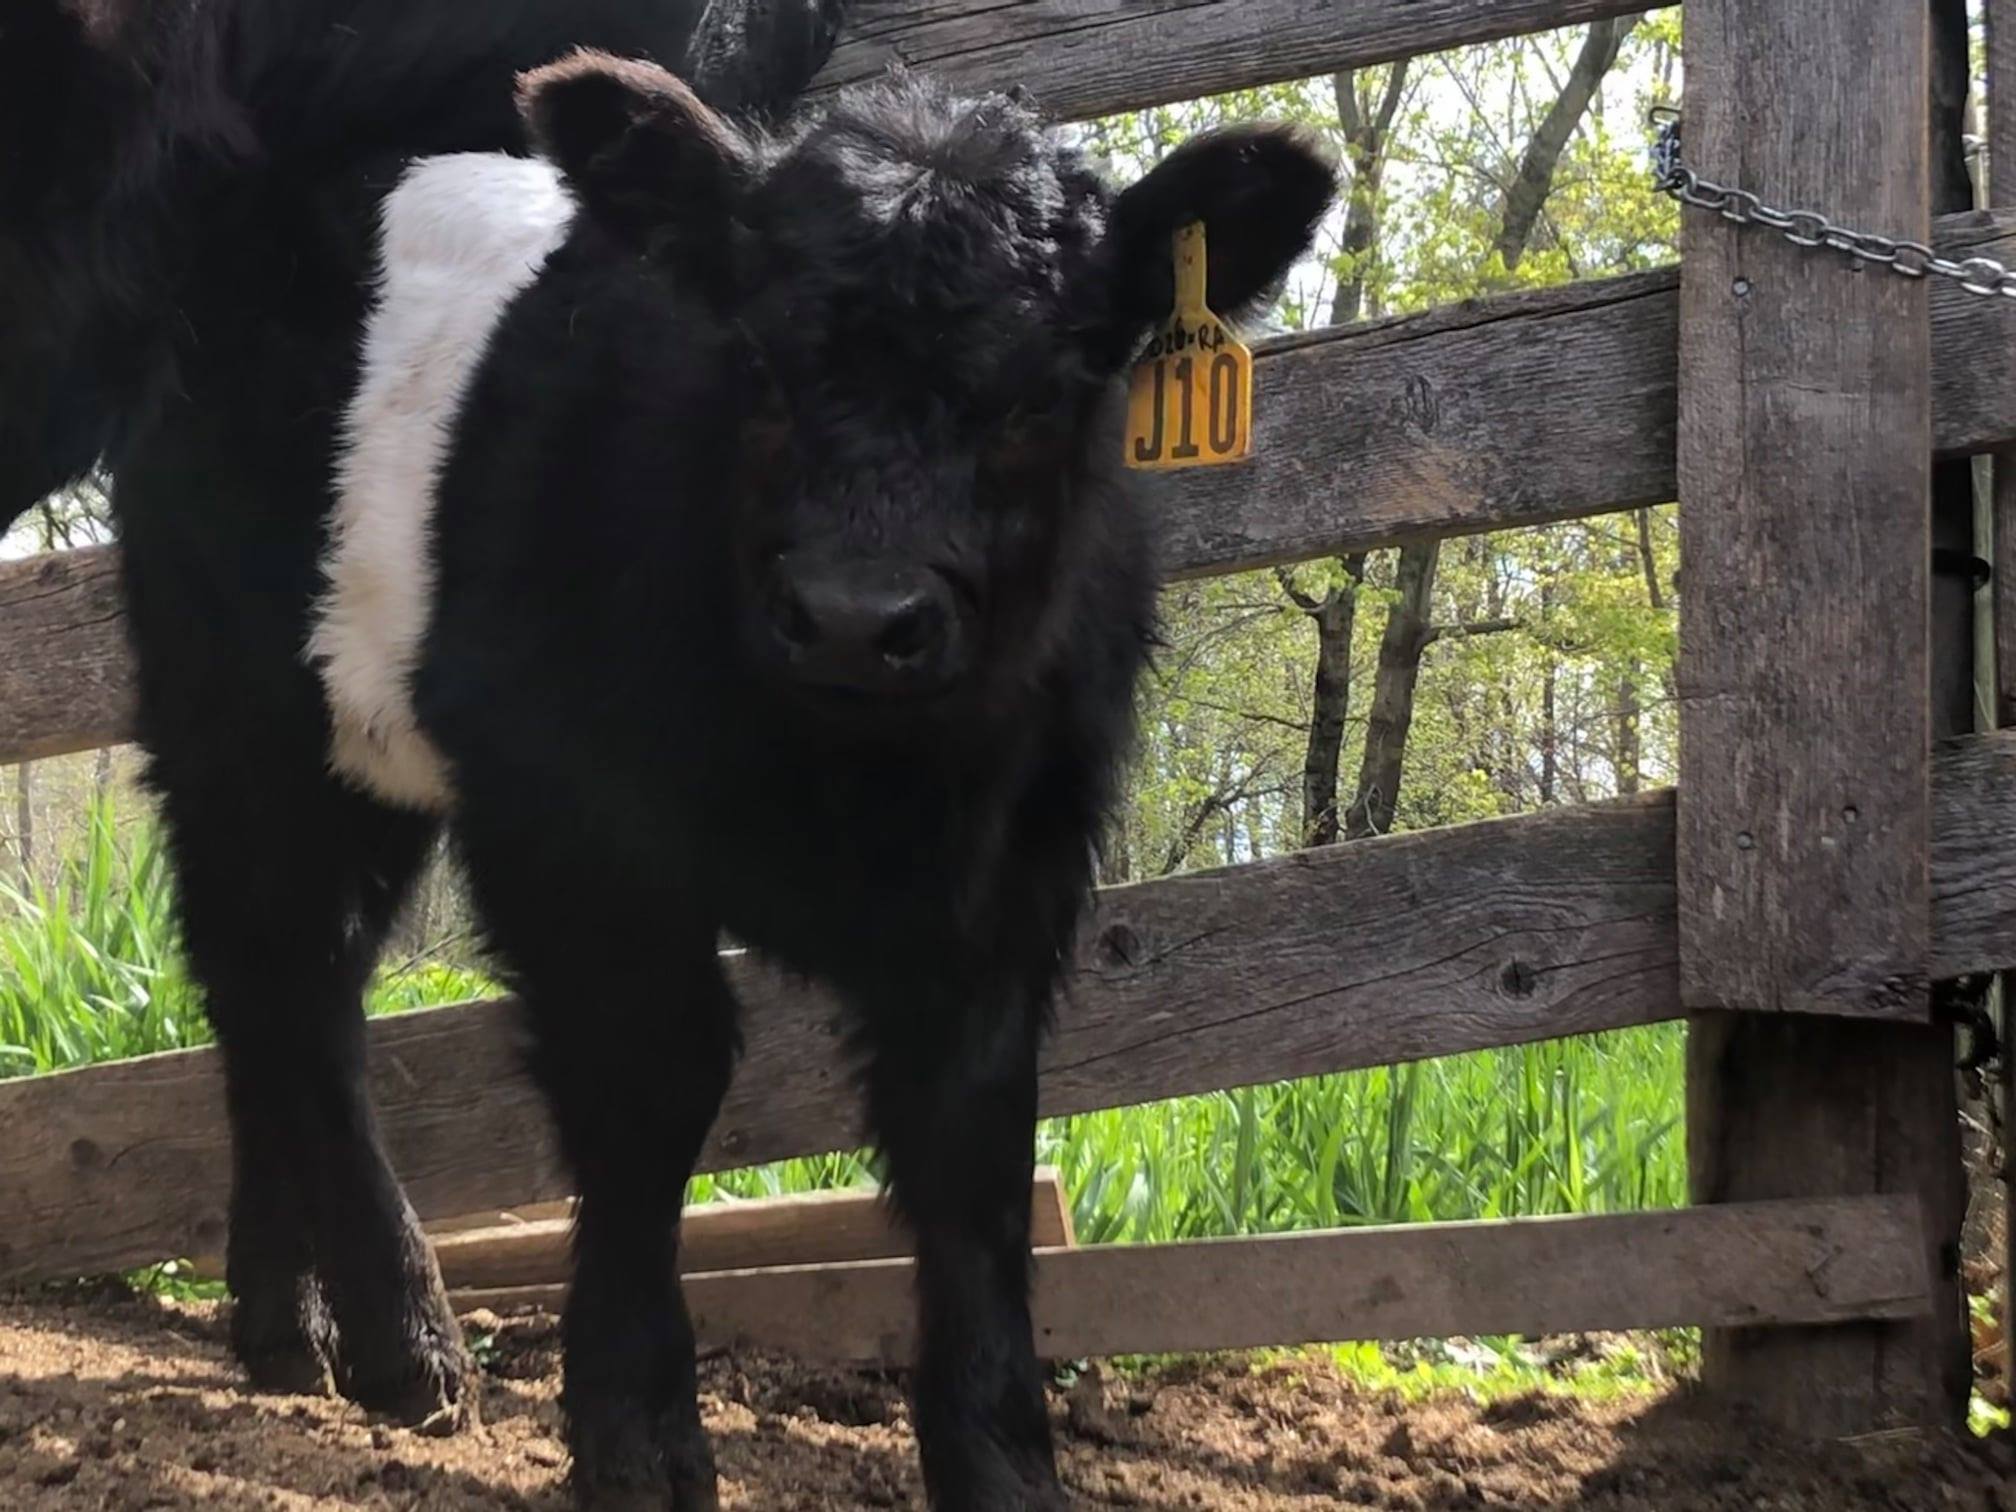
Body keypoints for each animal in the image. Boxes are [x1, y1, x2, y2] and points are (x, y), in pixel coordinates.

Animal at [11, 9, 1336, 1508]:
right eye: (758, 359)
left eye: (1042, 394)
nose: (853, 616)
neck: (845, 790)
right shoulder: (572, 822)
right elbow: (655, 1087)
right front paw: (638, 1439)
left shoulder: (1015, 882)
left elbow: (974, 1156)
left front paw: (1002, 1468)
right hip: (232, 698)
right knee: (278, 970)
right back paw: (404, 1341)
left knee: (295, 981)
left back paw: (291, 1327)